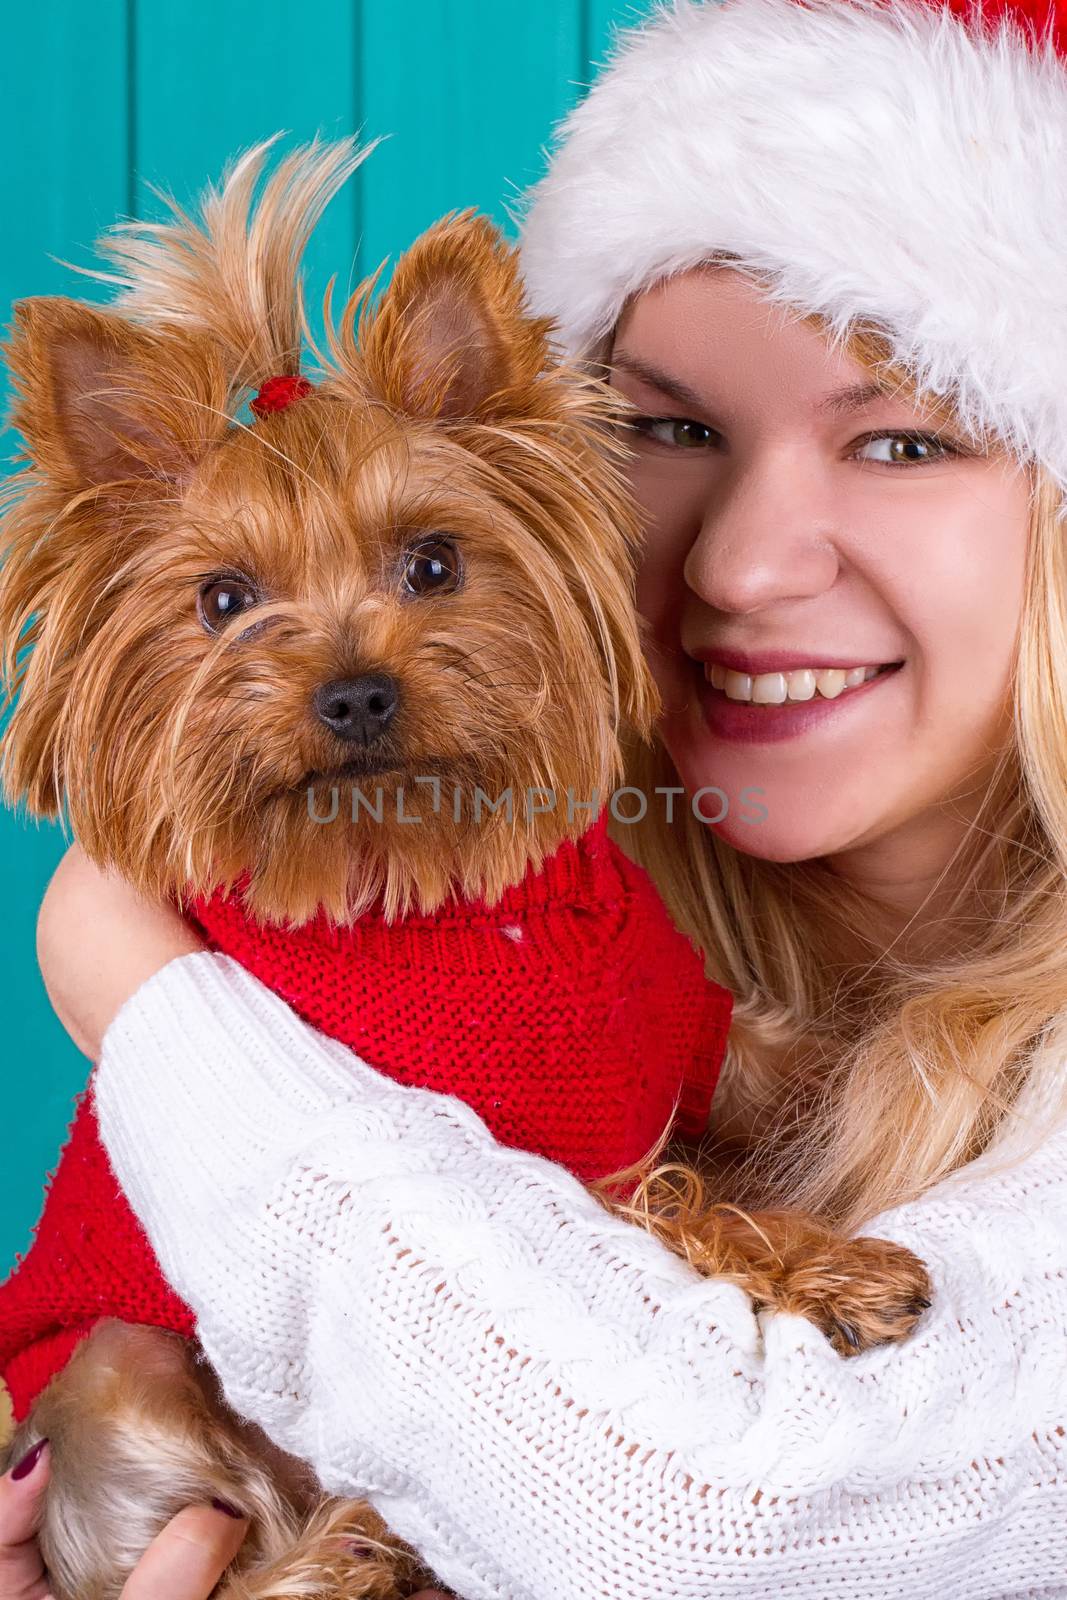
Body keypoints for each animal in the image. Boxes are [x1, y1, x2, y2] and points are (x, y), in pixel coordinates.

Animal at [0, 140, 927, 1600]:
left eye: (433, 561)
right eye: (222, 600)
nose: (352, 693)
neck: (472, 899)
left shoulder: (689, 1028)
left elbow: (777, 1060)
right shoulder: (531, 1166)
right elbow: (666, 1207)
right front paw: (827, 1268)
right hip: (116, 1384)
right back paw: (350, 1547)